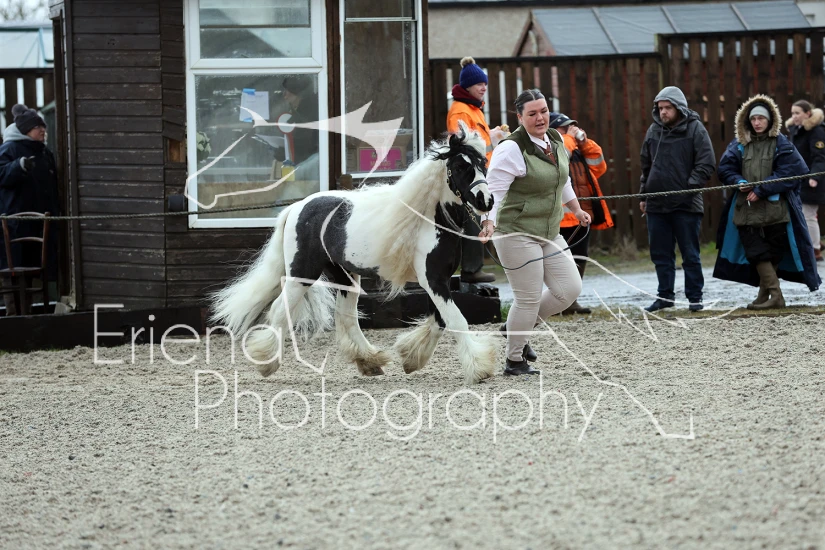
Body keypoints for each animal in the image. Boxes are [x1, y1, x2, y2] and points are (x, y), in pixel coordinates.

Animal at [210, 122, 498, 384]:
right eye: (460, 166)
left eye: (483, 163)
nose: (486, 201)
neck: (429, 219)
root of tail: (297, 207)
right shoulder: (432, 280)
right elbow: (456, 319)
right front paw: (478, 369)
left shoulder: (440, 280)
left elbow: (441, 319)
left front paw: (411, 357)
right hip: (302, 274)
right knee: (282, 310)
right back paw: (266, 363)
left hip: (345, 276)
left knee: (346, 317)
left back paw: (370, 361)